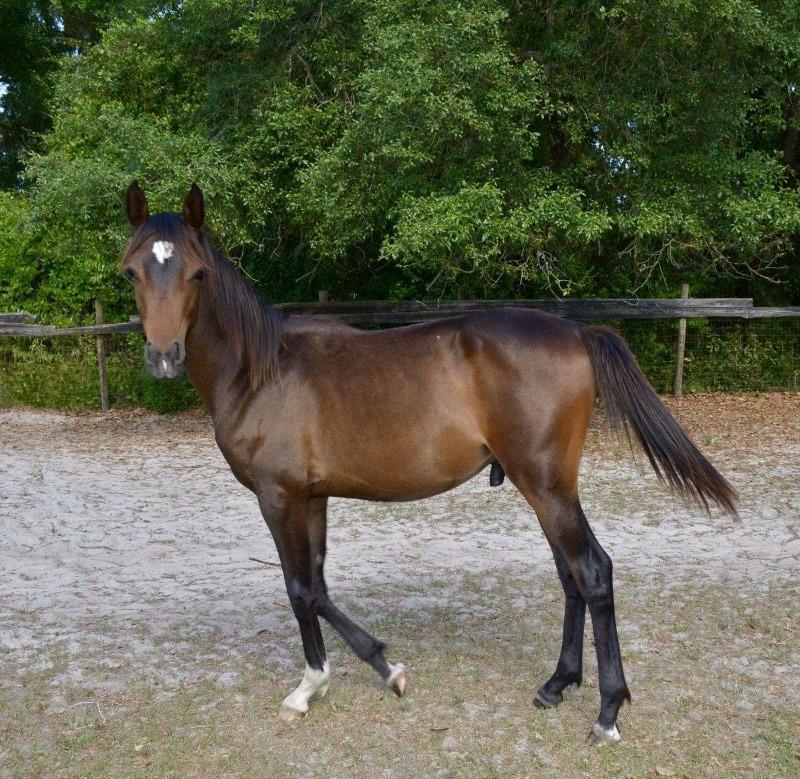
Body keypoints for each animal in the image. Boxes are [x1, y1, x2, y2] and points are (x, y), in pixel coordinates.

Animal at [121, 182, 736, 746]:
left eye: (198, 275)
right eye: (131, 273)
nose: (164, 357)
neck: (259, 372)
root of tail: (576, 331)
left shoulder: (278, 496)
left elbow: (300, 590)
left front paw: (338, 680)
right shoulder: (311, 496)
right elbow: (317, 584)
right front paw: (346, 675)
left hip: (545, 484)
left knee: (592, 572)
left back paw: (608, 712)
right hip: (547, 488)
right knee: (571, 576)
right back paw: (556, 684)